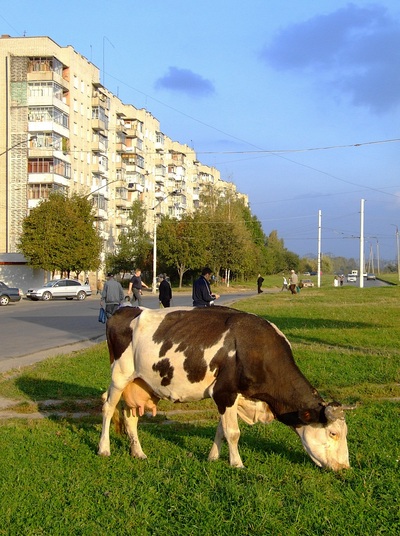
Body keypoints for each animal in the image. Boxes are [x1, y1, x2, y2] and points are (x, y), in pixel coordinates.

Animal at [100, 306, 350, 468]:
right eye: (333, 433)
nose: (345, 467)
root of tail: (126, 309)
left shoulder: (232, 397)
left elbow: (221, 428)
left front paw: (213, 457)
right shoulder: (224, 392)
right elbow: (233, 432)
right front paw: (237, 463)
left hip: (141, 382)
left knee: (130, 416)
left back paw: (138, 452)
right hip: (119, 375)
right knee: (108, 408)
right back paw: (104, 449)